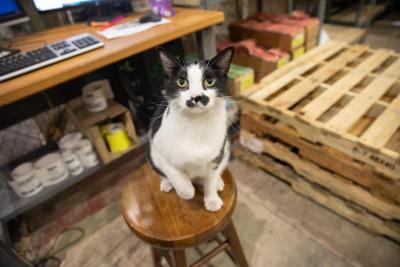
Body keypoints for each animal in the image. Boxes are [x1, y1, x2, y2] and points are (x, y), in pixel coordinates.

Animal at [148, 47, 233, 213]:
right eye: (181, 82)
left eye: (209, 81)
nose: (196, 97)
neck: (197, 125)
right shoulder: (159, 153)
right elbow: (180, 181)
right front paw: (188, 190)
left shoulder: (218, 154)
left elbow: (210, 178)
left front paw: (212, 199)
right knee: (162, 173)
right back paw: (167, 184)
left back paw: (218, 182)